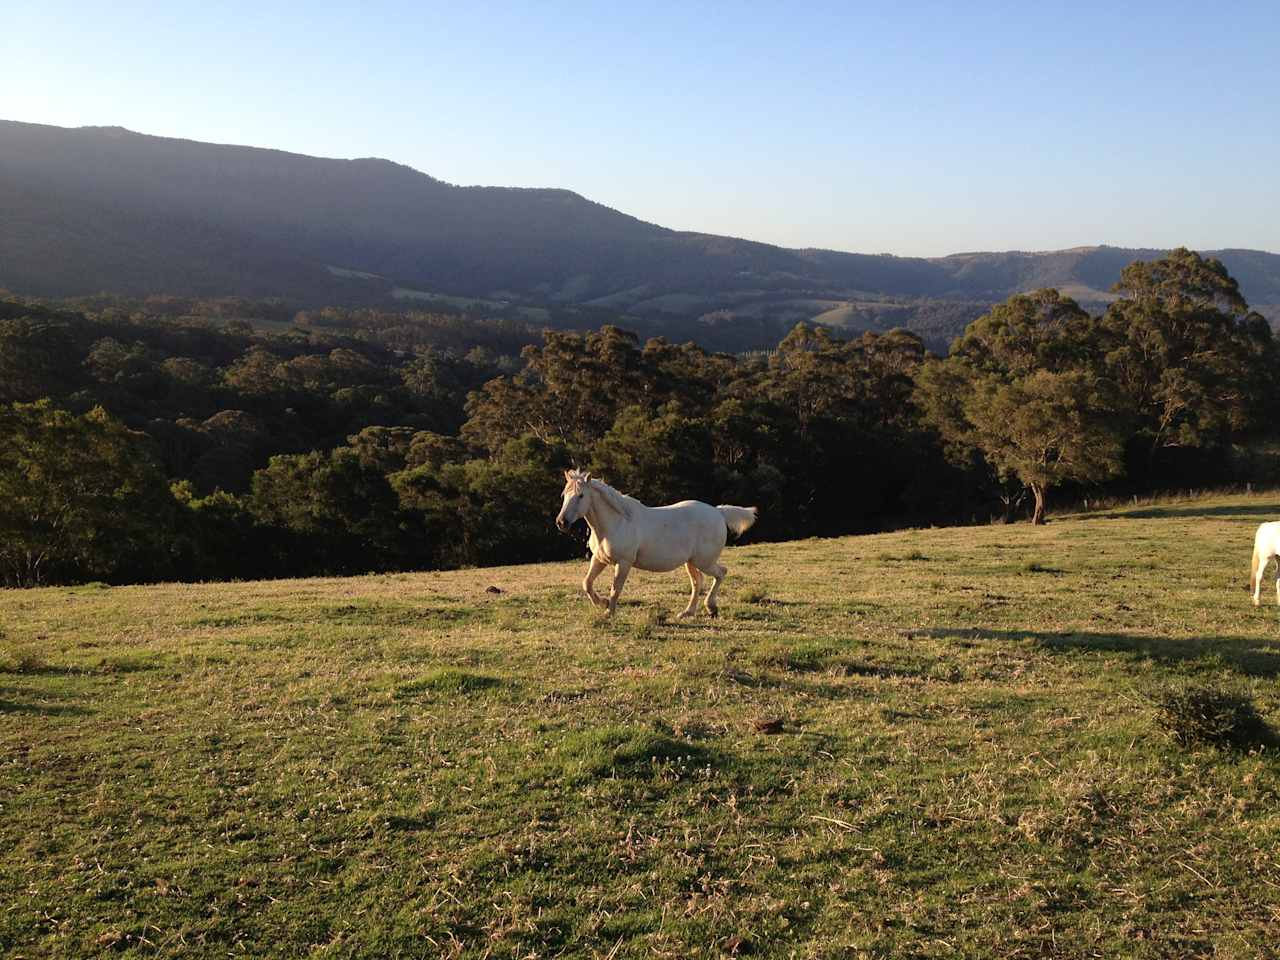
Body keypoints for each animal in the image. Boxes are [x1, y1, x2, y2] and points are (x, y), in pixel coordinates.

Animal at [552, 471, 752, 619]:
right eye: (564, 495)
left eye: (581, 495)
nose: (561, 523)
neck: (617, 522)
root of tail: (718, 513)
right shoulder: (599, 559)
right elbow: (587, 583)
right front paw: (602, 603)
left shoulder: (624, 563)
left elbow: (616, 589)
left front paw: (609, 612)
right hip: (691, 562)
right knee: (698, 582)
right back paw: (687, 612)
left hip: (704, 561)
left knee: (721, 573)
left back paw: (711, 608)